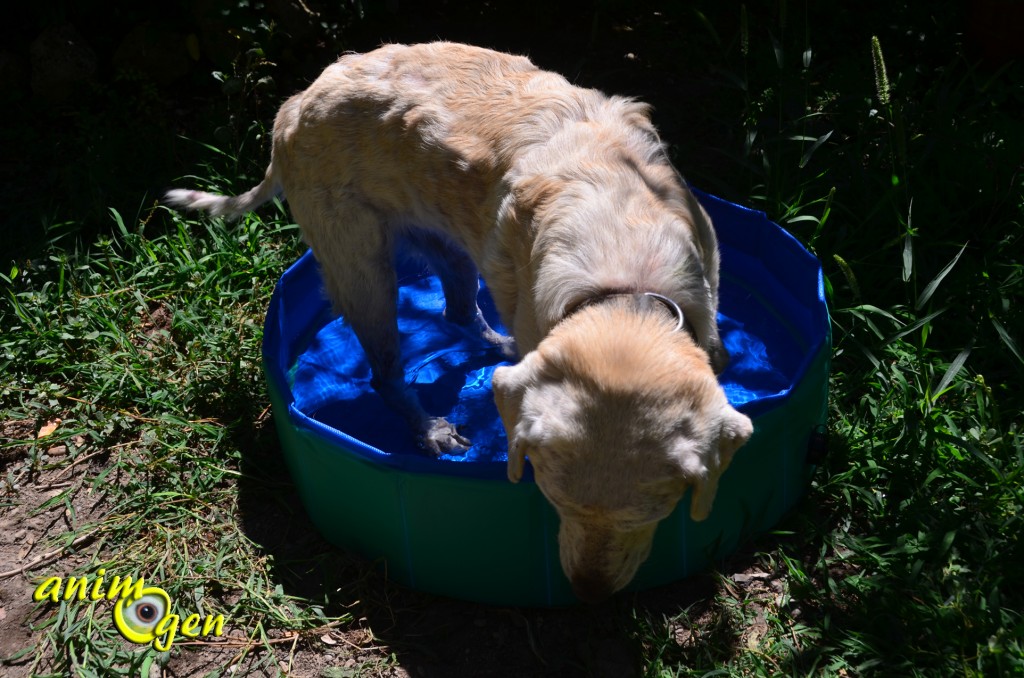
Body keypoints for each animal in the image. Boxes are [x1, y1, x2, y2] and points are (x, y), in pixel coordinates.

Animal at [167, 42, 757, 602]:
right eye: (554, 500)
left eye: (650, 514)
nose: (587, 595)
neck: (624, 281)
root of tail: (293, 106)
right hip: (363, 268)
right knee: (386, 374)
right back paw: (431, 427)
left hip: (447, 242)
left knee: (456, 312)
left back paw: (497, 348)